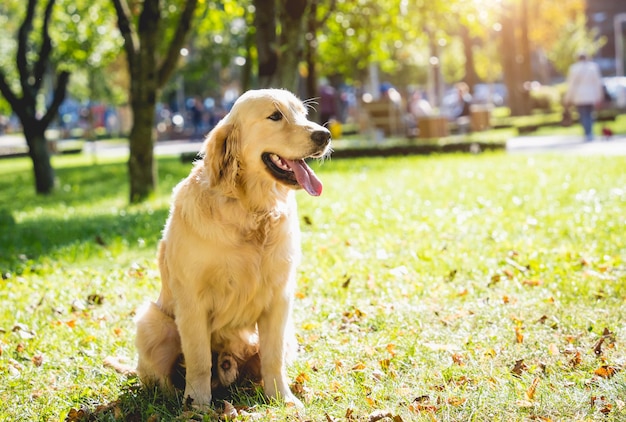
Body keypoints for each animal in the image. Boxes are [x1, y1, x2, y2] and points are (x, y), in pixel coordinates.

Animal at [134, 89, 332, 408]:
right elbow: (199, 359)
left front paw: (282, 398)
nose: (324, 135)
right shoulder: (192, 299)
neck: (250, 209)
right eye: (275, 116)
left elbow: (273, 357)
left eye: (302, 114)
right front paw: (198, 405)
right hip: (151, 321)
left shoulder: (280, 297)